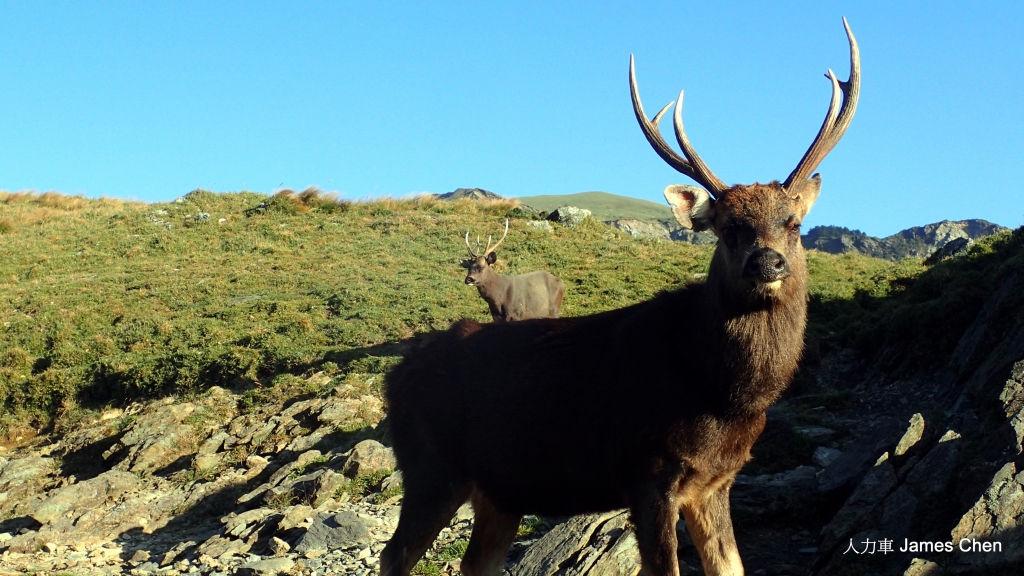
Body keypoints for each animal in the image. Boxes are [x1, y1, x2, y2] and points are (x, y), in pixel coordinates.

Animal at [380, 17, 860, 573]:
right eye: (726, 229)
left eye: (794, 223)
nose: (767, 262)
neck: (722, 392)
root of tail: (394, 379)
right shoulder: (646, 471)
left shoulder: (715, 482)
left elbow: (731, 565)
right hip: (431, 467)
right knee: (394, 554)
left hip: (499, 492)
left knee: (473, 561)